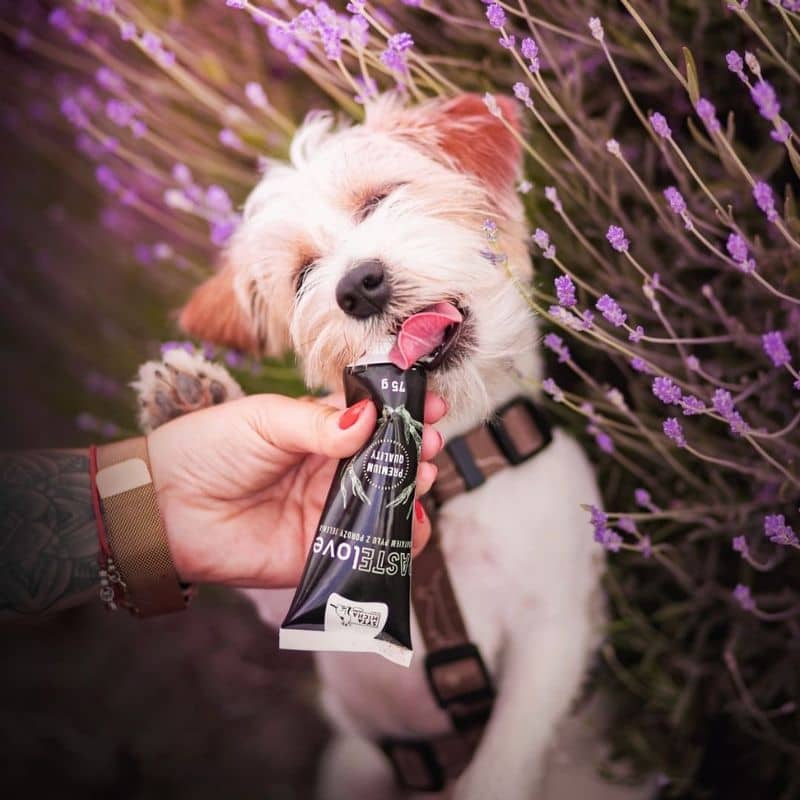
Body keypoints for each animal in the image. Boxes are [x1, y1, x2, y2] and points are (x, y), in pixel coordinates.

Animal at [133, 94, 644, 800]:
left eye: (380, 199)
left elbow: (504, 757)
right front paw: (191, 402)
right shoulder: (308, 600)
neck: (454, 473)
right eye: (303, 274)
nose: (359, 286)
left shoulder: (553, 630)